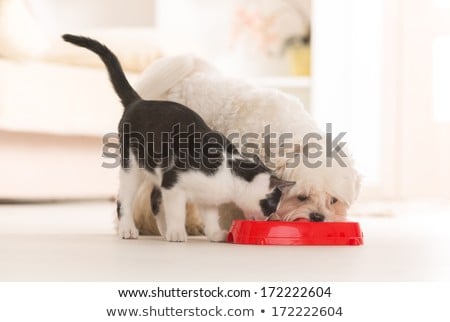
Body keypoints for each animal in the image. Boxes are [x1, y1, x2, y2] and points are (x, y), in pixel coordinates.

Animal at [63, 34, 296, 242]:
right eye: (271, 205)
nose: (269, 219)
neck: (228, 172)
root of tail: (139, 101)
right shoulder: (173, 184)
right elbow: (176, 211)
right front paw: (177, 233)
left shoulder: (206, 197)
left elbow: (209, 217)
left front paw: (214, 234)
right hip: (132, 167)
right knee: (124, 200)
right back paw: (130, 229)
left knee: (154, 201)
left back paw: (163, 231)